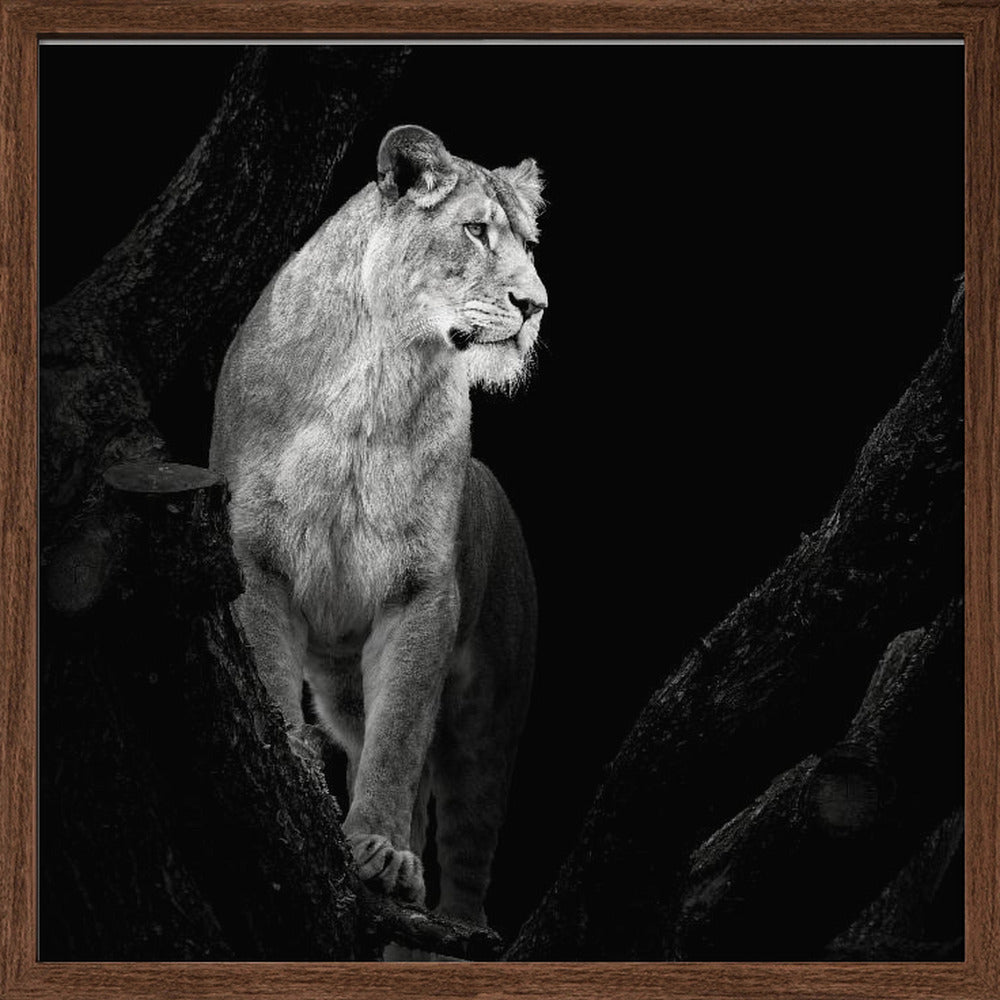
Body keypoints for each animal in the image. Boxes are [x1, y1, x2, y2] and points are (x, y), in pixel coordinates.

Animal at [209, 124, 546, 927]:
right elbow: (272, 680)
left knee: (466, 840)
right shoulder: (255, 558)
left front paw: (384, 854)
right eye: (476, 231)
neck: (378, 376)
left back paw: (453, 924)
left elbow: (399, 739)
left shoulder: (422, 593)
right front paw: (296, 770)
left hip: (493, 713)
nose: (536, 305)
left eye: (528, 241)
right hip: (341, 689)